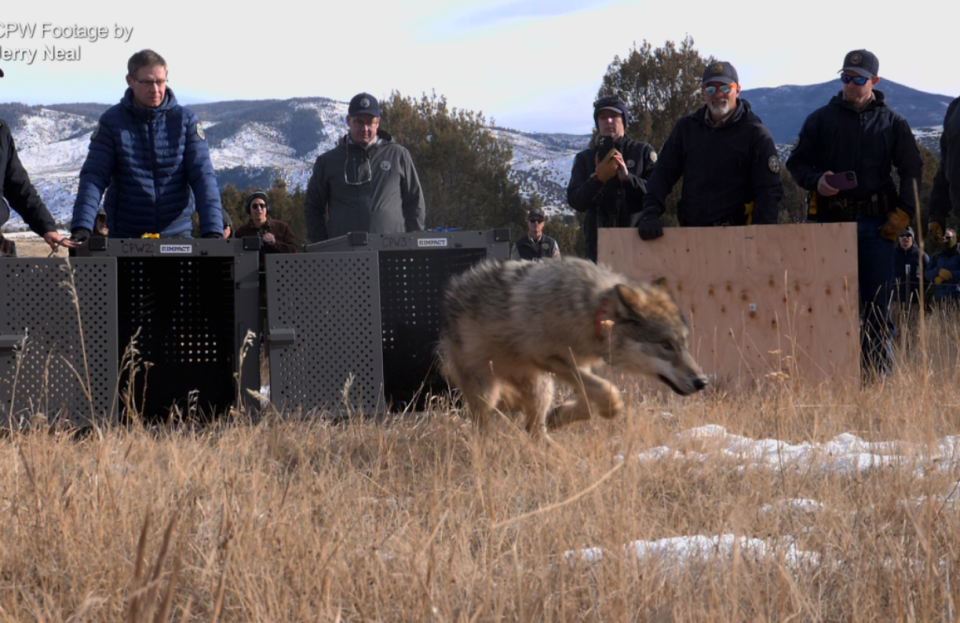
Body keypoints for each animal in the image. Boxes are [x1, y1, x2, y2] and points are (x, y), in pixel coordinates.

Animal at [438, 258, 708, 438]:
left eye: (684, 343)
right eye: (666, 345)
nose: (702, 382)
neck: (592, 310)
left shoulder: (578, 365)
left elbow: (590, 399)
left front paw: (559, 417)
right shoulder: (552, 359)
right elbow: (609, 391)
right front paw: (611, 409)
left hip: (542, 388)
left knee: (534, 429)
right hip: (488, 392)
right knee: (485, 426)